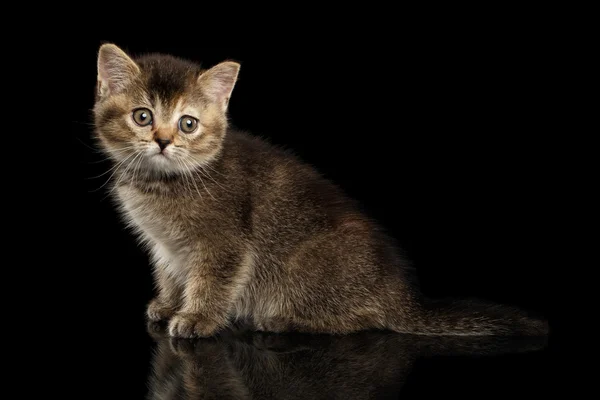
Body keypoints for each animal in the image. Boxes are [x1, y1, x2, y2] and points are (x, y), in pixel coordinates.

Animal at [91, 43, 548, 338]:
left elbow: (212, 281)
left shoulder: (225, 244)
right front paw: (169, 304)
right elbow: (170, 273)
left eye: (188, 123)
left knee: (366, 319)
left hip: (306, 270)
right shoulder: (164, 245)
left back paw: (284, 321)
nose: (164, 141)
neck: (161, 183)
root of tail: (401, 296)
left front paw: (197, 319)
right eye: (143, 116)